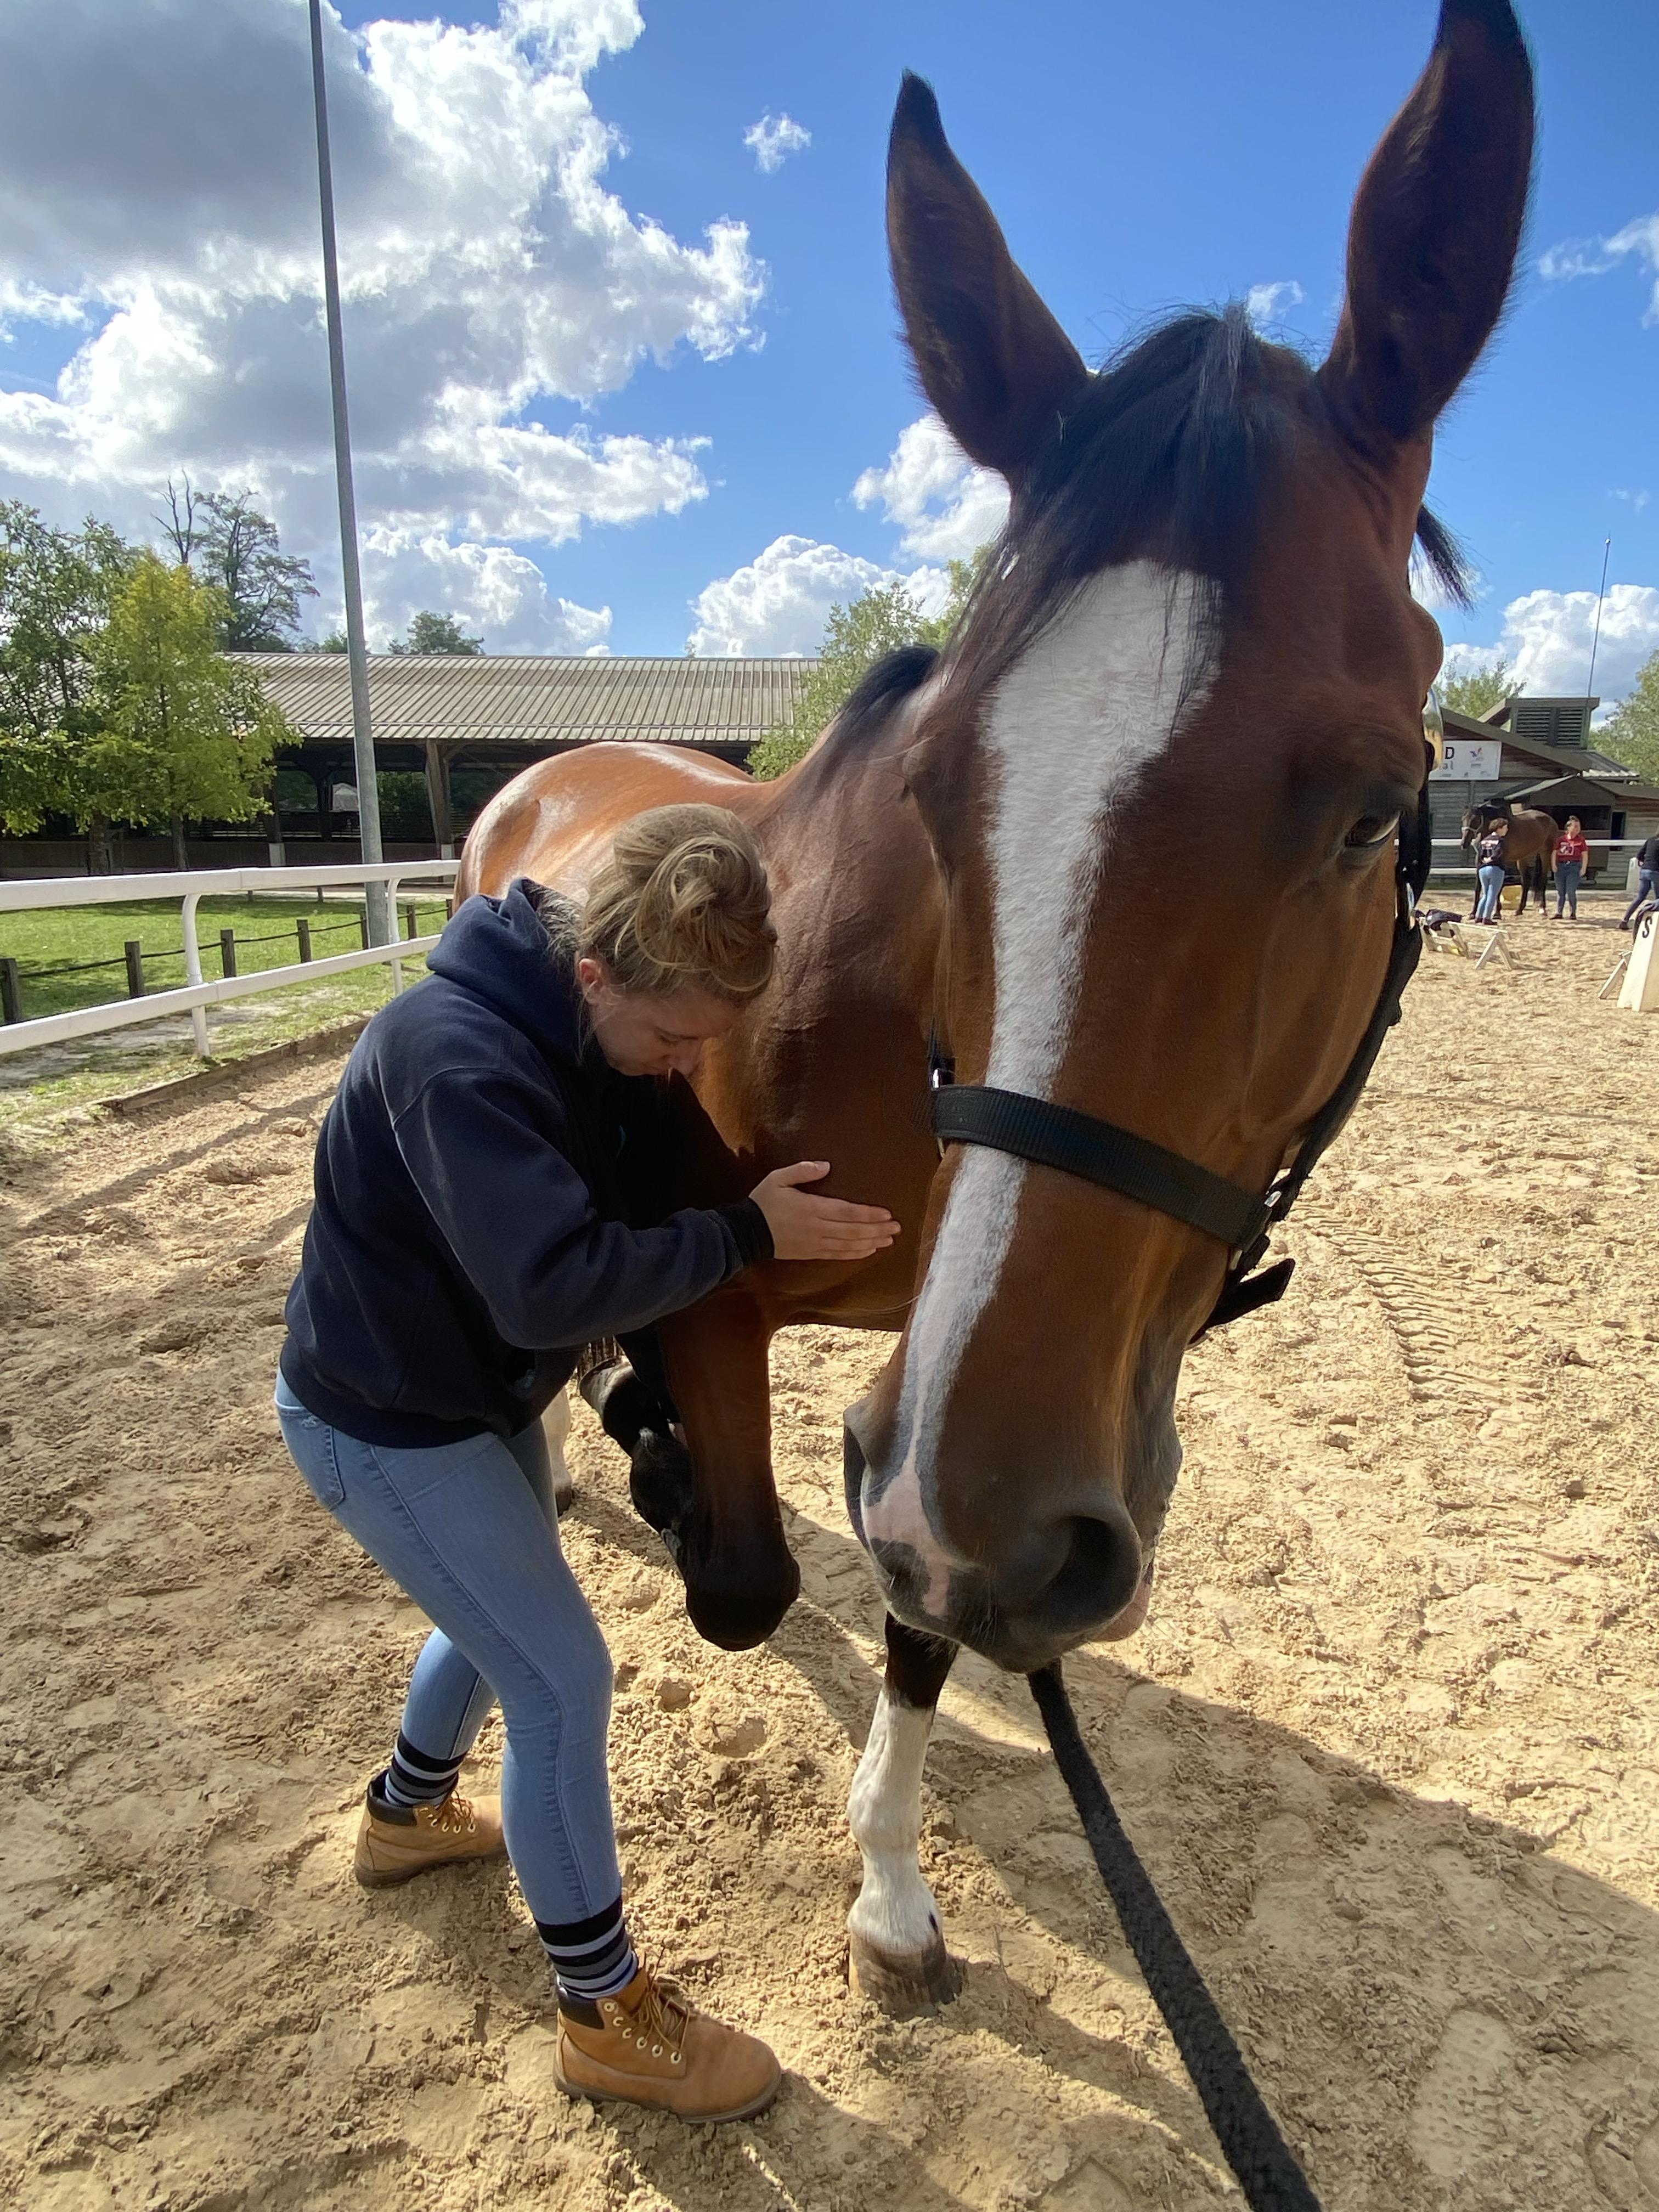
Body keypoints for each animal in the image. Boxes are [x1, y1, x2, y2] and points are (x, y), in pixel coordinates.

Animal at [456, 0, 1533, 2012]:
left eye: (1374, 807)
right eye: (939, 780)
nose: (1015, 1519)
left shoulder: (953, 1415)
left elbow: (909, 1616)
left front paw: (891, 1887)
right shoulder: (749, 1311)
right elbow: (750, 1571)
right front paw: (654, 1462)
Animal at [1461, 799, 1558, 916]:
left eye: (1475, 820)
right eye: (1463, 819)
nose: (1464, 844)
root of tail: (1551, 820)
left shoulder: (1501, 860)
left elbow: (1499, 885)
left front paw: (1497, 913)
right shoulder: (1480, 860)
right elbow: (1478, 887)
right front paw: (1473, 913)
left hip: (1545, 853)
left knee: (1542, 880)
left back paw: (1542, 909)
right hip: (1523, 857)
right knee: (1526, 881)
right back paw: (1519, 910)